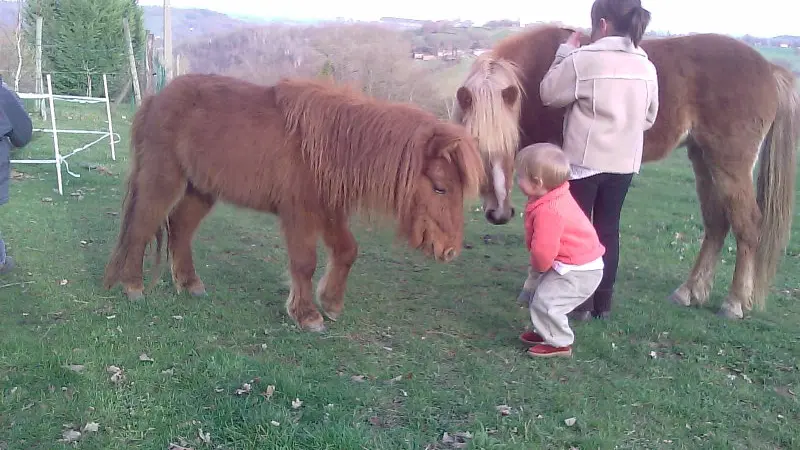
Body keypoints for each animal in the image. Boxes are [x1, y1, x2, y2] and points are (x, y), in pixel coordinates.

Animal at [104, 74, 484, 332]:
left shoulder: (329, 211)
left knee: (179, 228)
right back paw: (133, 286)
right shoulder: (300, 215)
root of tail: (155, 99)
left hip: (201, 190)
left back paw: (189, 284)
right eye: (440, 188)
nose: (450, 250)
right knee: (142, 225)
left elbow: (347, 251)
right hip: (163, 181)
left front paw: (331, 303)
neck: (330, 145)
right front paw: (307, 315)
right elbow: (304, 263)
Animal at [456, 24, 800, 320]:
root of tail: (769, 68)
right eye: (474, 144)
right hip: (703, 160)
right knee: (717, 224)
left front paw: (534, 286)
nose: (498, 213)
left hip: (730, 164)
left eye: (508, 141)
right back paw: (689, 292)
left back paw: (734, 302)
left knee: (748, 226)